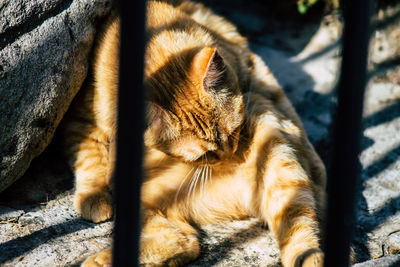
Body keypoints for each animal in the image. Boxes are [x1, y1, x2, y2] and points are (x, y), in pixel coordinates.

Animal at [61, 1, 324, 266]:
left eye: (234, 131)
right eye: (203, 155)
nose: (231, 157)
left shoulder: (250, 69)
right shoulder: (80, 120)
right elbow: (89, 157)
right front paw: (94, 198)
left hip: (276, 157)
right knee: (182, 241)